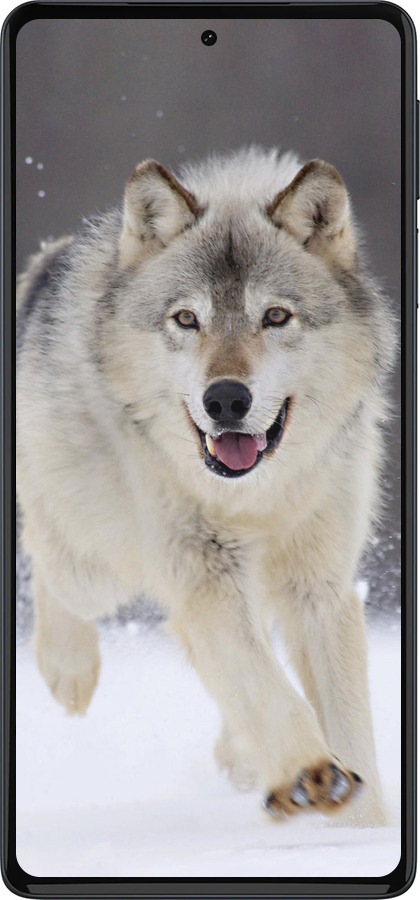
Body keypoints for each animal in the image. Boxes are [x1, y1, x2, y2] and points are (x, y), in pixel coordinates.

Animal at [17, 147, 395, 826]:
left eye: (275, 316)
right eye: (187, 319)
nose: (225, 399)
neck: (256, 497)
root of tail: (47, 261)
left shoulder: (319, 585)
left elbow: (348, 721)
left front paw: (362, 826)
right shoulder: (204, 574)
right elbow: (266, 686)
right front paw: (310, 773)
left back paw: (241, 757)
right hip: (99, 565)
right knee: (46, 555)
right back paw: (69, 671)